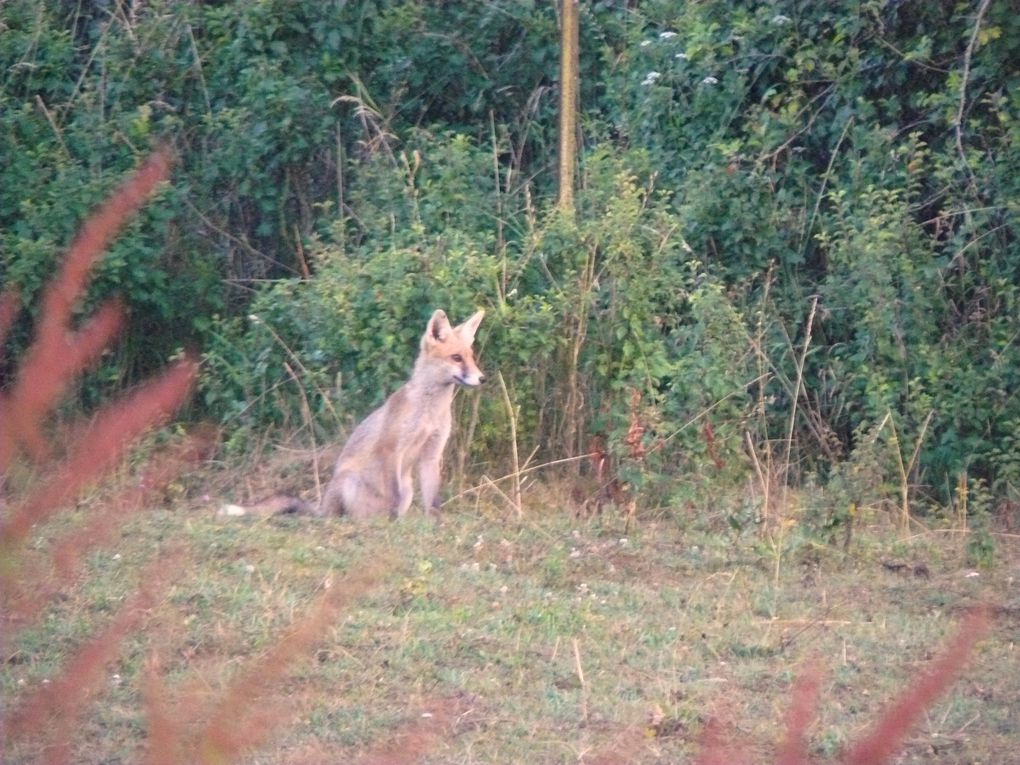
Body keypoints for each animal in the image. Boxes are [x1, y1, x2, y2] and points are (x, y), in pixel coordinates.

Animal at [223, 310, 485, 522]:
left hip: (408, 487)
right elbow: (393, 497)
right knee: (348, 516)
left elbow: (433, 500)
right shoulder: (391, 449)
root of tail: (322, 508)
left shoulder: (431, 453)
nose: (482, 378)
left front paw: (435, 524)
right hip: (351, 482)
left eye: (471, 357)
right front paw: (393, 525)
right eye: (456, 358)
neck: (428, 412)